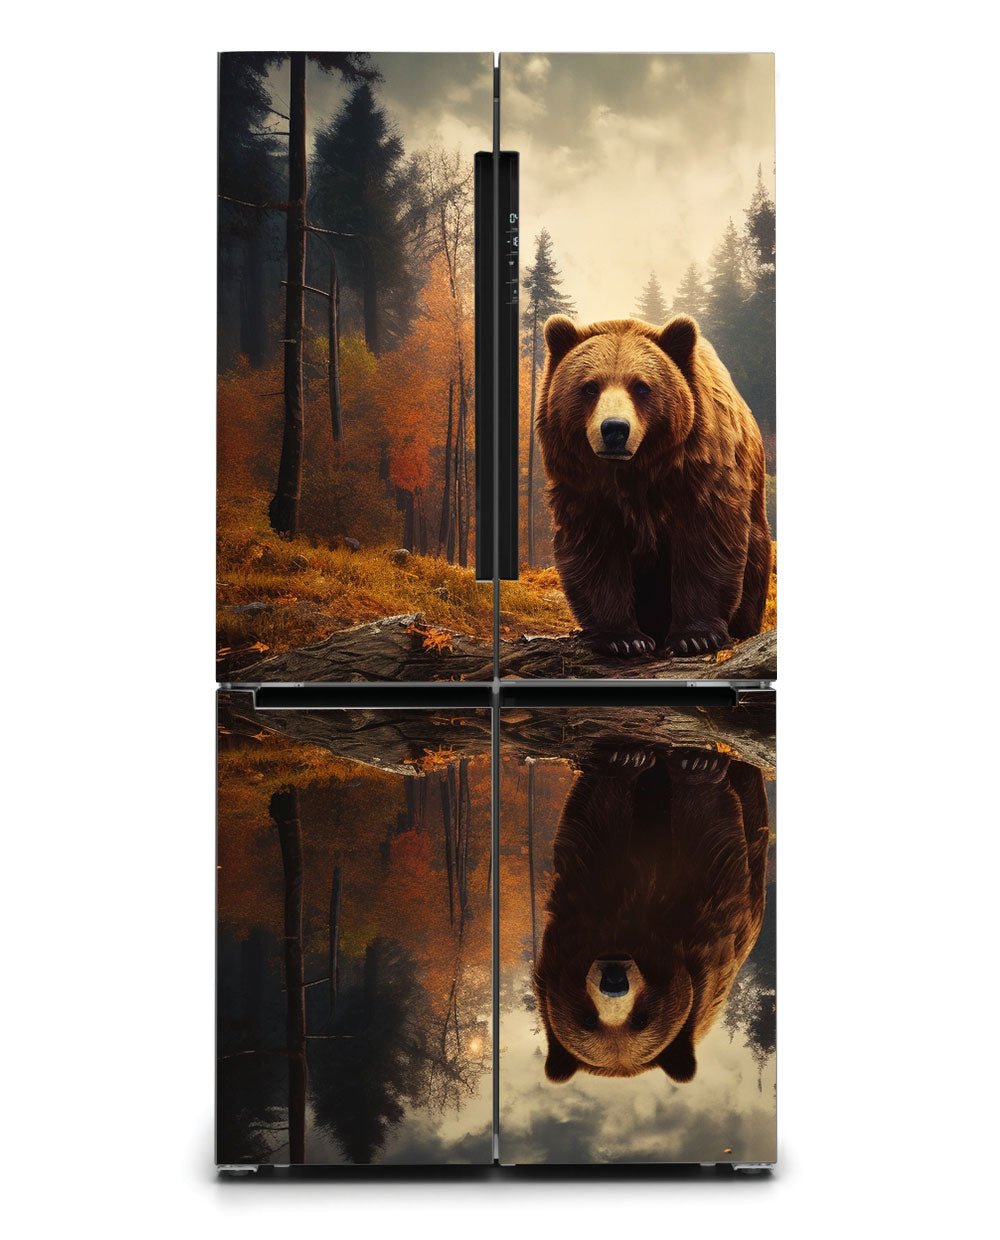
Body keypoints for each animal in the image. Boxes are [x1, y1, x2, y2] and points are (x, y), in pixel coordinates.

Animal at [534, 743, 769, 1084]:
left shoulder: (706, 928)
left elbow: (704, 835)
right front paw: (627, 760)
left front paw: (696, 762)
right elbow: (598, 823)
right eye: (587, 1019)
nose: (614, 981)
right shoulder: (580, 900)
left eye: (642, 1019)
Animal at [535, 314, 772, 658]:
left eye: (641, 386)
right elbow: (597, 551)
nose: (615, 429)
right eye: (590, 387)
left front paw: (695, 637)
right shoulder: (586, 489)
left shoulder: (699, 475)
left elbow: (705, 542)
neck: (636, 471)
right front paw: (623, 638)